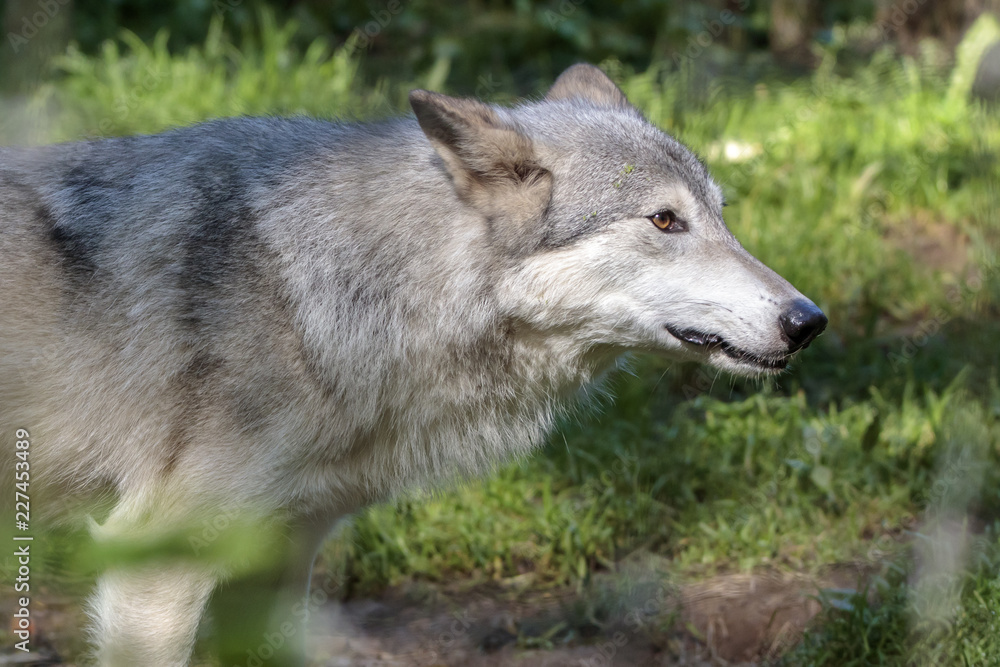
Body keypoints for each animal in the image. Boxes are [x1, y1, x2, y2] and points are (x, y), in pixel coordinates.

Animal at [0, 64, 828, 667]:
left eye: (721, 215)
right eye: (664, 220)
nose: (808, 321)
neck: (315, 293)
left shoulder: (276, 561)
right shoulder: (153, 567)